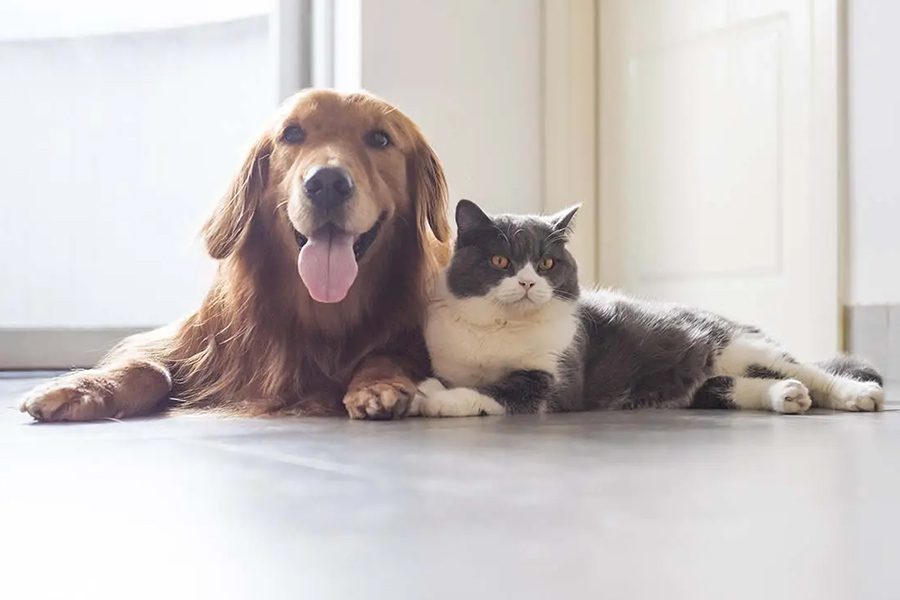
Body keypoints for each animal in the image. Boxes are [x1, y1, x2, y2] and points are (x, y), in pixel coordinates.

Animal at [15, 89, 448, 420]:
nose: (326, 183)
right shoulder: (191, 343)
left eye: (380, 139)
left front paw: (378, 384)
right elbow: (150, 365)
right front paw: (80, 386)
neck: (318, 315)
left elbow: (387, 354)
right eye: (292, 134)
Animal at [410, 200, 884, 418]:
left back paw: (856, 394)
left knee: (813, 372)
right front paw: (430, 388)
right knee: (726, 387)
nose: (527, 282)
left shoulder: (554, 380)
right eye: (499, 261)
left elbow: (500, 392)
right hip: (704, 378)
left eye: (546, 264)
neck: (500, 327)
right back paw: (786, 395)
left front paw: (435, 398)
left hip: (737, 346)